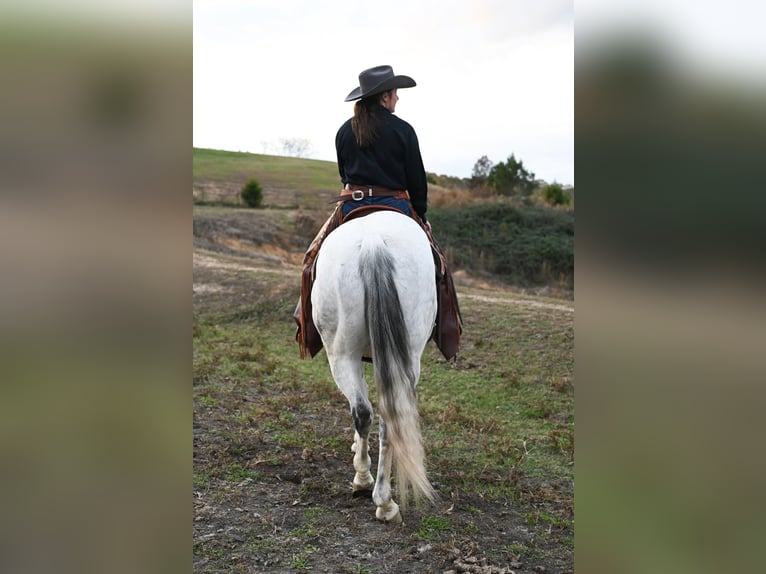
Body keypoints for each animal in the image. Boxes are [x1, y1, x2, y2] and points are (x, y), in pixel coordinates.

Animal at [310, 209, 438, 524]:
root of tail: (372, 243)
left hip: (341, 356)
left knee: (365, 412)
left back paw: (368, 483)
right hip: (402, 358)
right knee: (383, 417)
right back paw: (384, 499)